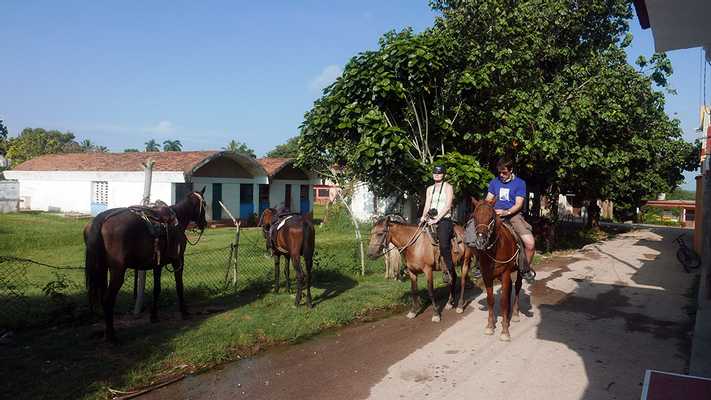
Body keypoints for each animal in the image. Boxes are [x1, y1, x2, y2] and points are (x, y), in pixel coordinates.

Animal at [84, 189, 207, 342]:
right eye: (205, 204)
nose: (204, 223)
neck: (178, 219)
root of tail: (102, 220)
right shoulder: (178, 261)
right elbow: (179, 287)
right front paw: (184, 312)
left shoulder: (158, 265)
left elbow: (157, 289)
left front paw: (154, 316)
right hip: (117, 271)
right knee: (108, 300)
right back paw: (112, 336)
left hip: (102, 269)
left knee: (103, 298)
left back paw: (108, 333)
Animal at [468, 198, 524, 342]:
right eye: (475, 217)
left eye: (491, 217)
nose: (480, 241)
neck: (495, 248)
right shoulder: (487, 276)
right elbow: (491, 300)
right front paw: (490, 325)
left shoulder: (505, 274)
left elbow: (503, 301)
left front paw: (504, 331)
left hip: (518, 272)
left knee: (517, 287)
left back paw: (515, 314)